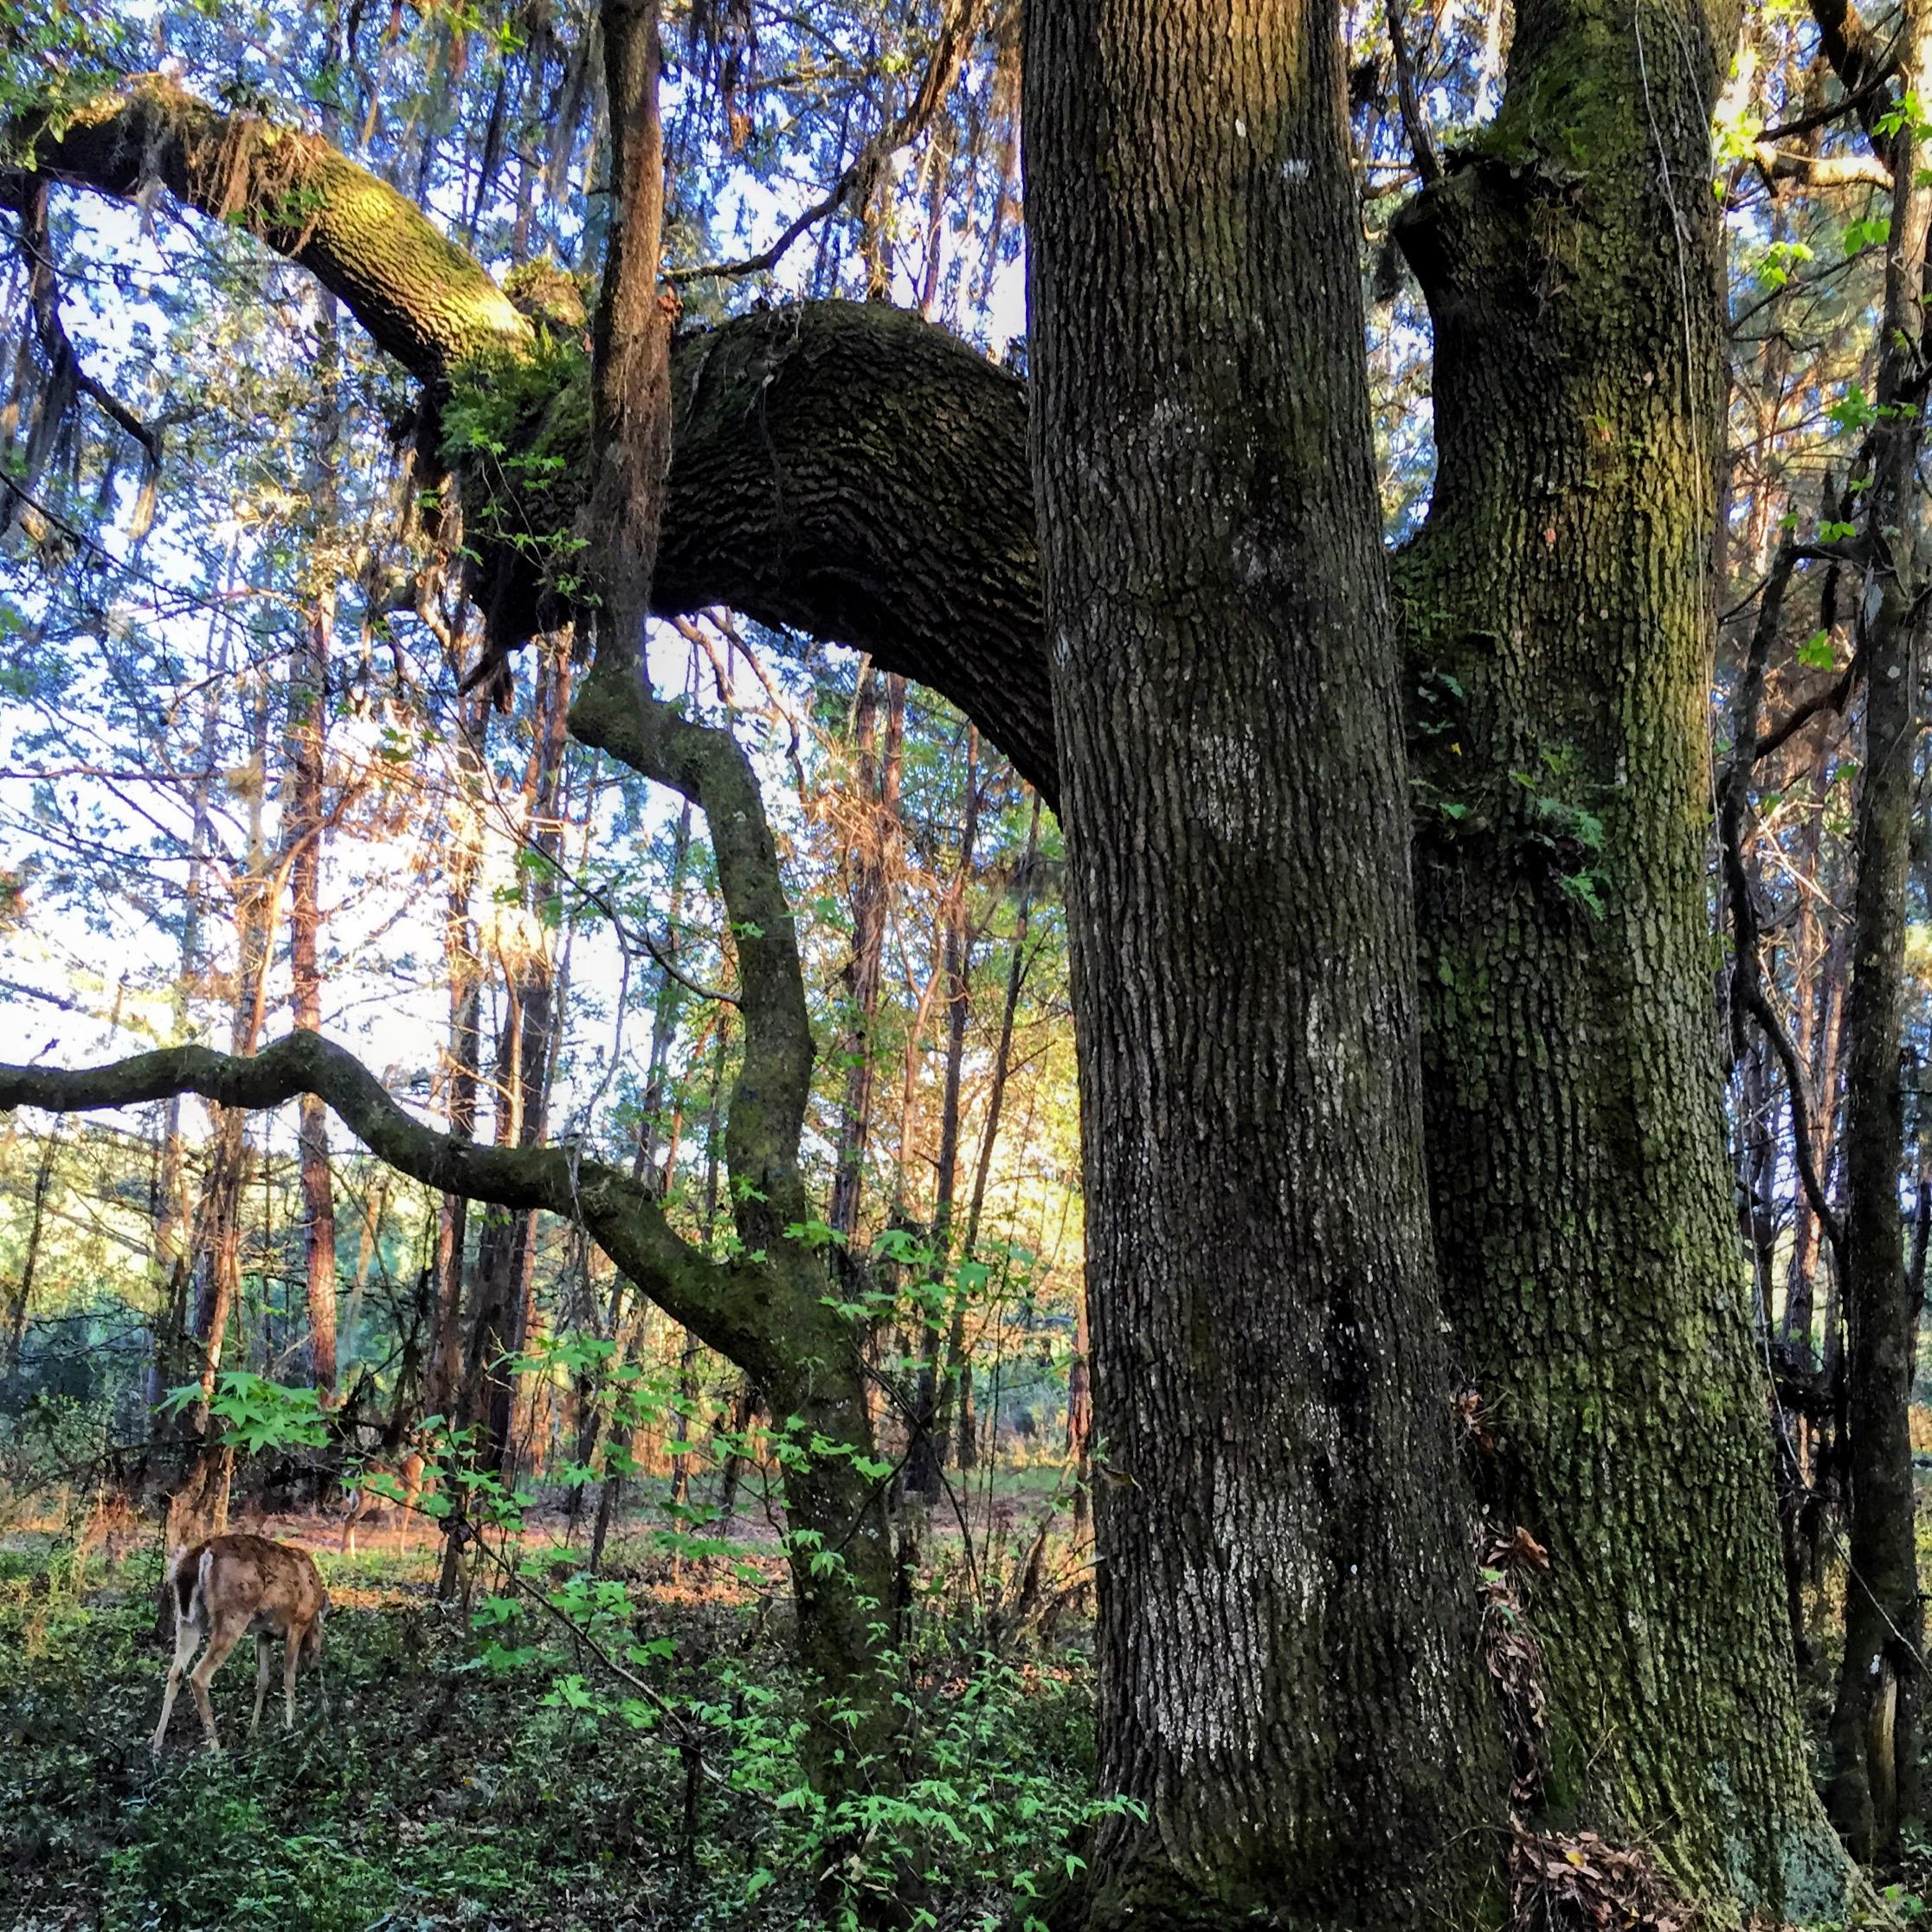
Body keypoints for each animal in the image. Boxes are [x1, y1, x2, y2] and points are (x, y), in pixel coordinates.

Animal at [152, 1534, 328, 1756]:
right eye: (320, 1637)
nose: (314, 1665)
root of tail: (200, 1553)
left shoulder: (264, 1634)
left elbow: (263, 1681)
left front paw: (253, 1731)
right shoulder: (296, 1624)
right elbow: (289, 1680)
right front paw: (291, 1728)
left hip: (187, 1620)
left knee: (175, 1673)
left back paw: (157, 1744)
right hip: (233, 1614)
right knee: (199, 1676)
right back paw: (216, 1748)